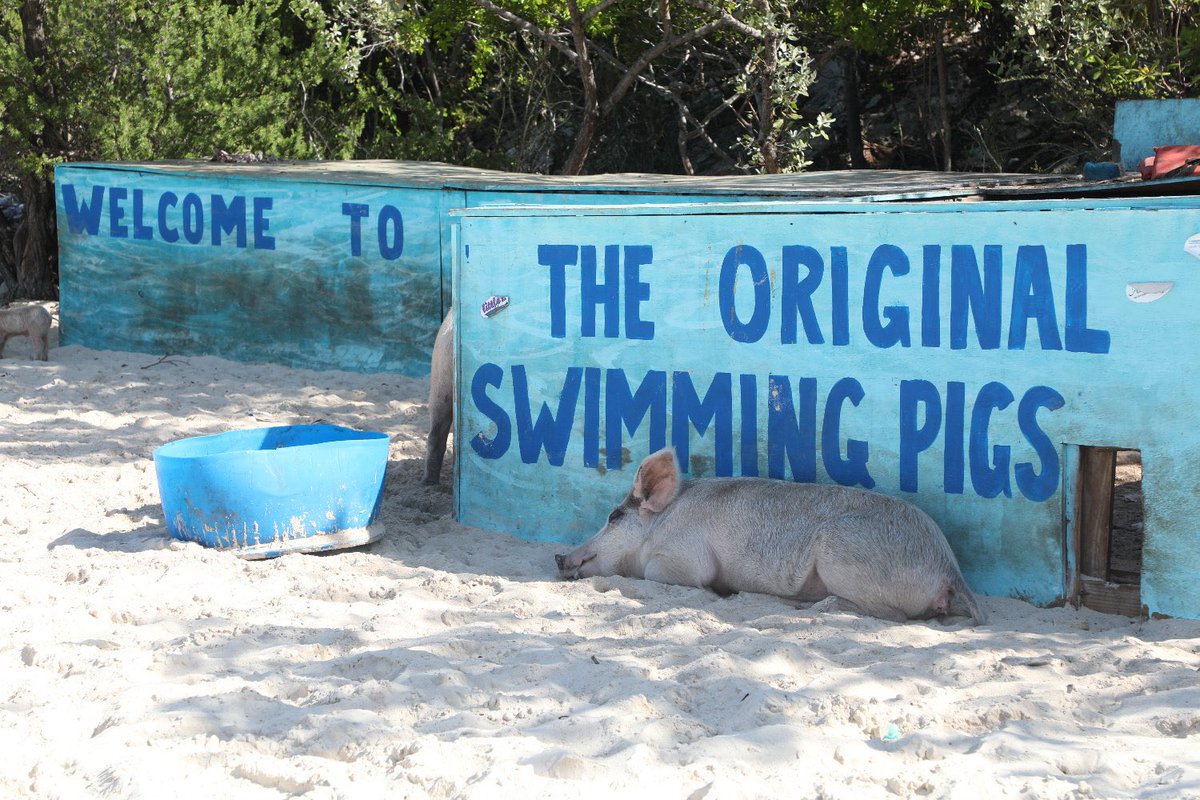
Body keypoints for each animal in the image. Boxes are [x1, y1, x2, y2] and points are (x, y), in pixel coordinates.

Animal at [555, 448, 985, 624]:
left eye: (613, 516)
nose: (559, 557)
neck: (662, 524)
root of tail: (948, 566)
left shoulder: (684, 558)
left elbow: (661, 576)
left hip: (843, 558)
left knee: (894, 614)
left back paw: (814, 607)